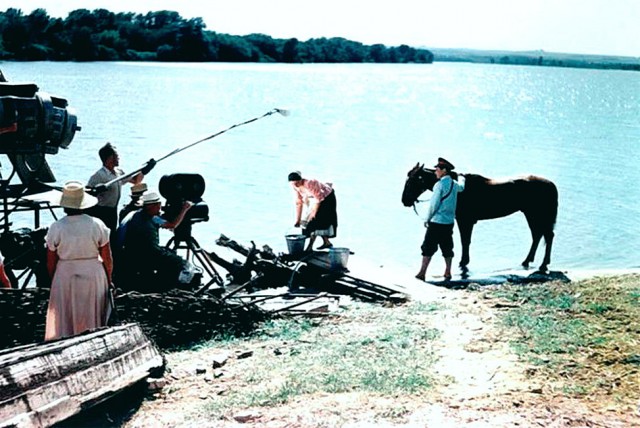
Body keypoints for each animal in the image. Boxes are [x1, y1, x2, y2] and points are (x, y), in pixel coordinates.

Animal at [402, 162, 556, 272]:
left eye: (412, 181)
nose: (404, 201)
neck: (459, 189)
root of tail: (551, 185)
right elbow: (466, 241)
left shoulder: (465, 221)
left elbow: (465, 241)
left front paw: (463, 261)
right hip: (531, 215)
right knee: (537, 235)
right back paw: (528, 261)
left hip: (537, 215)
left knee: (547, 236)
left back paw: (543, 264)